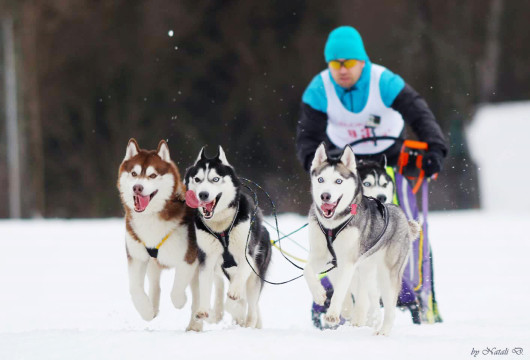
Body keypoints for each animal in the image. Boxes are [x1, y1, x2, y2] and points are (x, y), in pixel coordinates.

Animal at [117, 139, 204, 332]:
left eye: (152, 175)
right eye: (134, 173)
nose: (137, 187)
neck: (150, 218)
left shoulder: (188, 258)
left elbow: (177, 289)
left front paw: (180, 301)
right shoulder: (137, 256)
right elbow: (134, 289)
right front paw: (147, 311)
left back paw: (196, 323)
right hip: (152, 262)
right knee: (155, 282)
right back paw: (154, 305)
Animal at [183, 147, 272, 330]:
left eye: (215, 179)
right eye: (197, 179)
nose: (203, 194)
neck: (221, 227)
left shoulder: (247, 255)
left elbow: (240, 280)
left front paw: (235, 293)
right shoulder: (207, 258)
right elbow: (204, 285)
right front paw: (203, 309)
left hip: (255, 276)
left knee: (252, 304)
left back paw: (249, 320)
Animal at [304, 143, 418, 334]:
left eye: (338, 181)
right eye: (320, 179)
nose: (325, 196)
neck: (332, 226)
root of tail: (402, 215)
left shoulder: (348, 261)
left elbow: (341, 289)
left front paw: (333, 314)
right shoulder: (321, 256)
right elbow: (307, 270)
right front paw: (319, 294)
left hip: (387, 273)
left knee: (388, 306)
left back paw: (382, 330)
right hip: (367, 270)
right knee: (370, 298)